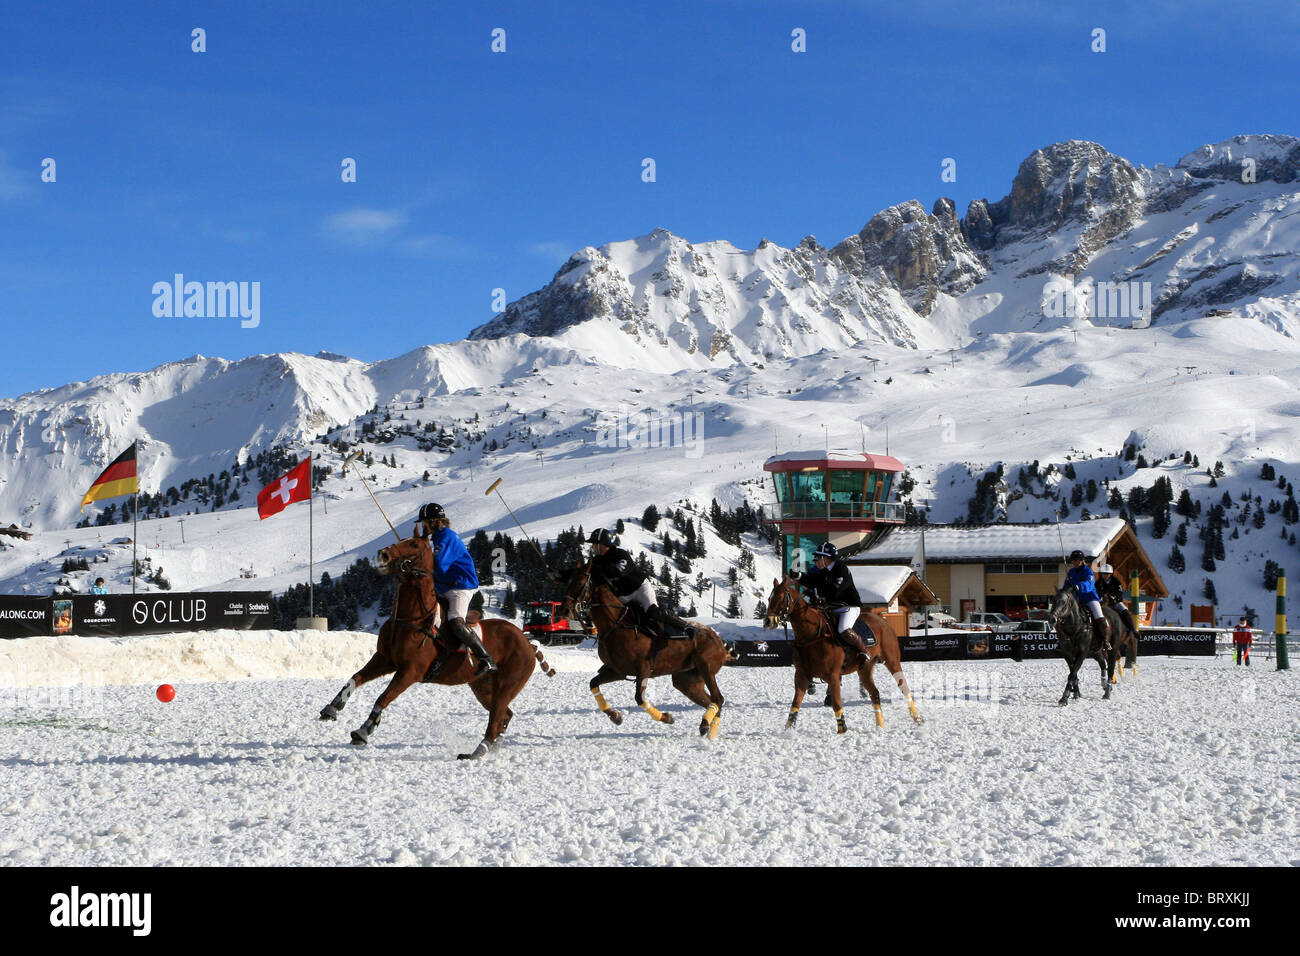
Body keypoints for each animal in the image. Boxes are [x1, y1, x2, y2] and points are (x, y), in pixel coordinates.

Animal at [321, 535, 559, 759]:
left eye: (414, 544)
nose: (383, 554)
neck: (410, 617)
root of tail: (528, 643)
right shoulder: (385, 659)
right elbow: (356, 677)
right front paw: (331, 708)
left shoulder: (411, 671)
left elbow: (383, 697)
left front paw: (363, 731)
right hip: (482, 687)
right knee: (505, 714)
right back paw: (492, 748)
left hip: (508, 683)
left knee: (495, 719)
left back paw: (475, 754)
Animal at [559, 561, 733, 738]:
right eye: (568, 582)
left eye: (579, 583)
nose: (564, 610)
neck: (615, 625)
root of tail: (719, 640)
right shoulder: (616, 670)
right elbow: (593, 683)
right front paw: (615, 716)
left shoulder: (643, 668)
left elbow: (640, 699)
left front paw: (667, 718)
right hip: (686, 680)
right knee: (711, 700)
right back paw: (710, 729)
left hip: (706, 668)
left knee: (718, 698)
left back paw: (706, 725)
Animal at [759, 574, 925, 733]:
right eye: (769, 598)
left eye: (780, 597)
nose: (768, 621)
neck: (812, 635)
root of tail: (884, 622)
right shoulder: (801, 675)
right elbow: (795, 704)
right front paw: (787, 730)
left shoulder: (833, 676)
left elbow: (837, 705)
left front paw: (842, 731)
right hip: (864, 669)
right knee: (875, 693)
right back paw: (880, 726)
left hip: (892, 661)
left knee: (904, 687)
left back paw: (917, 718)